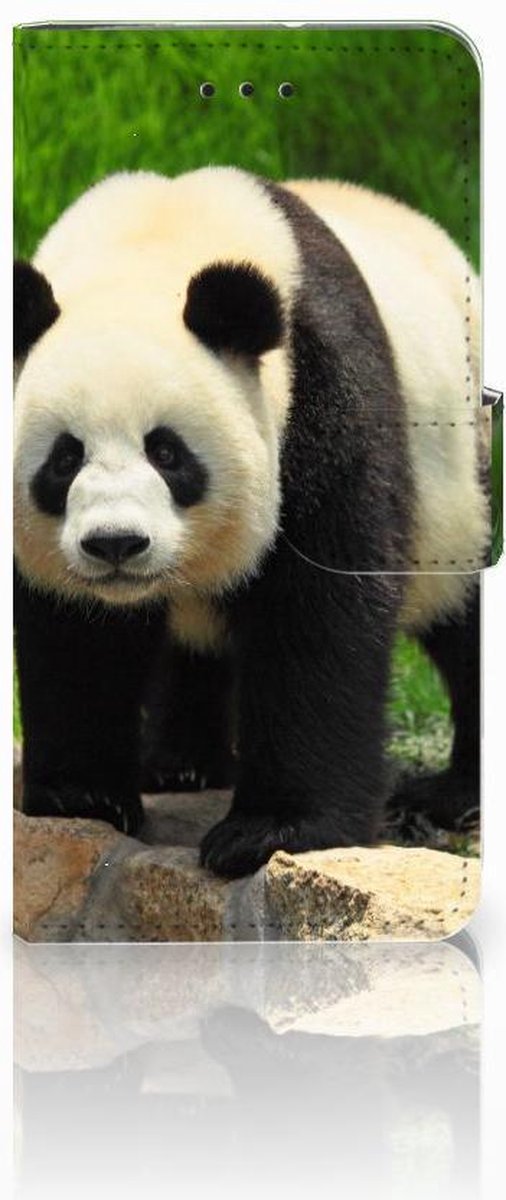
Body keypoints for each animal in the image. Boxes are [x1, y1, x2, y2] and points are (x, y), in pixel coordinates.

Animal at [13, 166, 489, 878]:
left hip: (460, 488)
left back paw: (453, 795)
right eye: (65, 459)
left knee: (464, 612)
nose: (116, 544)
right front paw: (83, 796)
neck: (153, 243)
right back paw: (181, 764)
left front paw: (270, 831)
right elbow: (74, 632)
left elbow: (318, 613)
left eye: (167, 452)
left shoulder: (320, 394)